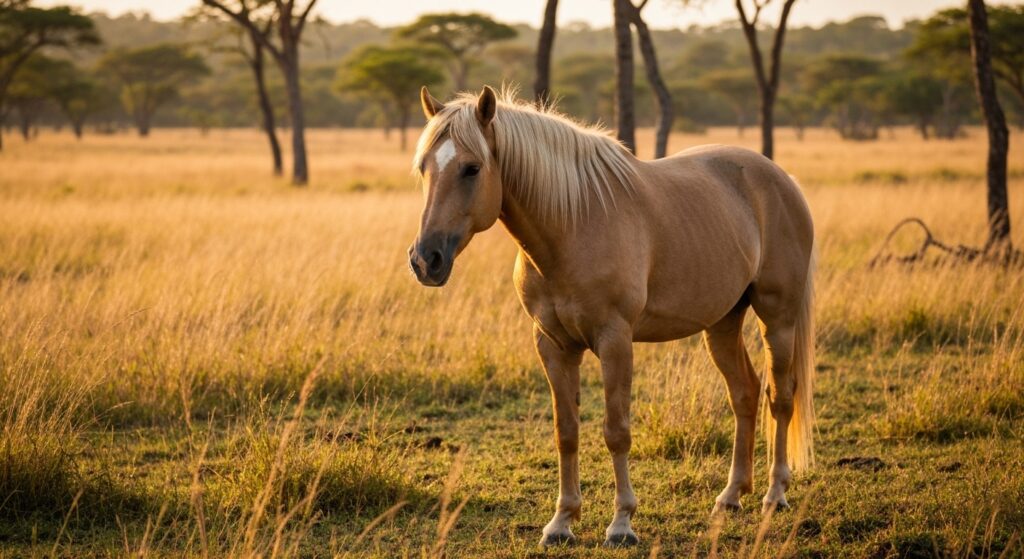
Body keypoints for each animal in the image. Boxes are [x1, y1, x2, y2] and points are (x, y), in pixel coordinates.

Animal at [407, 85, 815, 549]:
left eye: (472, 168)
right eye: (424, 167)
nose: (425, 260)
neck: (573, 226)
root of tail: (783, 179)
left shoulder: (615, 341)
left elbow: (616, 431)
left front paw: (621, 523)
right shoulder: (553, 345)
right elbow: (566, 432)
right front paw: (561, 522)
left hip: (777, 318)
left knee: (780, 397)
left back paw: (775, 494)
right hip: (722, 324)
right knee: (745, 394)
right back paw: (731, 496)